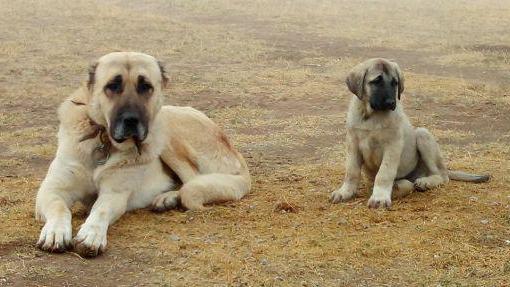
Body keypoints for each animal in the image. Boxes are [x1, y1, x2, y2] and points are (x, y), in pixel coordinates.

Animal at [35, 52, 251, 258]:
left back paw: (169, 198)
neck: (105, 142)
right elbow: (59, 207)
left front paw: (91, 235)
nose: (131, 120)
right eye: (112, 85)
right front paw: (55, 232)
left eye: (146, 86)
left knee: (192, 180)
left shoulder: (114, 194)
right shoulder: (52, 190)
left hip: (167, 130)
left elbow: (100, 210)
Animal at [330, 58, 490, 209]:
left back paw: (424, 182)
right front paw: (345, 192)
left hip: (422, 134)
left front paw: (380, 197)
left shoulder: (392, 145)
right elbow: (351, 172)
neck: (371, 115)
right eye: (376, 81)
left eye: (395, 83)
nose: (391, 103)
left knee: (441, 176)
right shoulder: (353, 144)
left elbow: (384, 173)